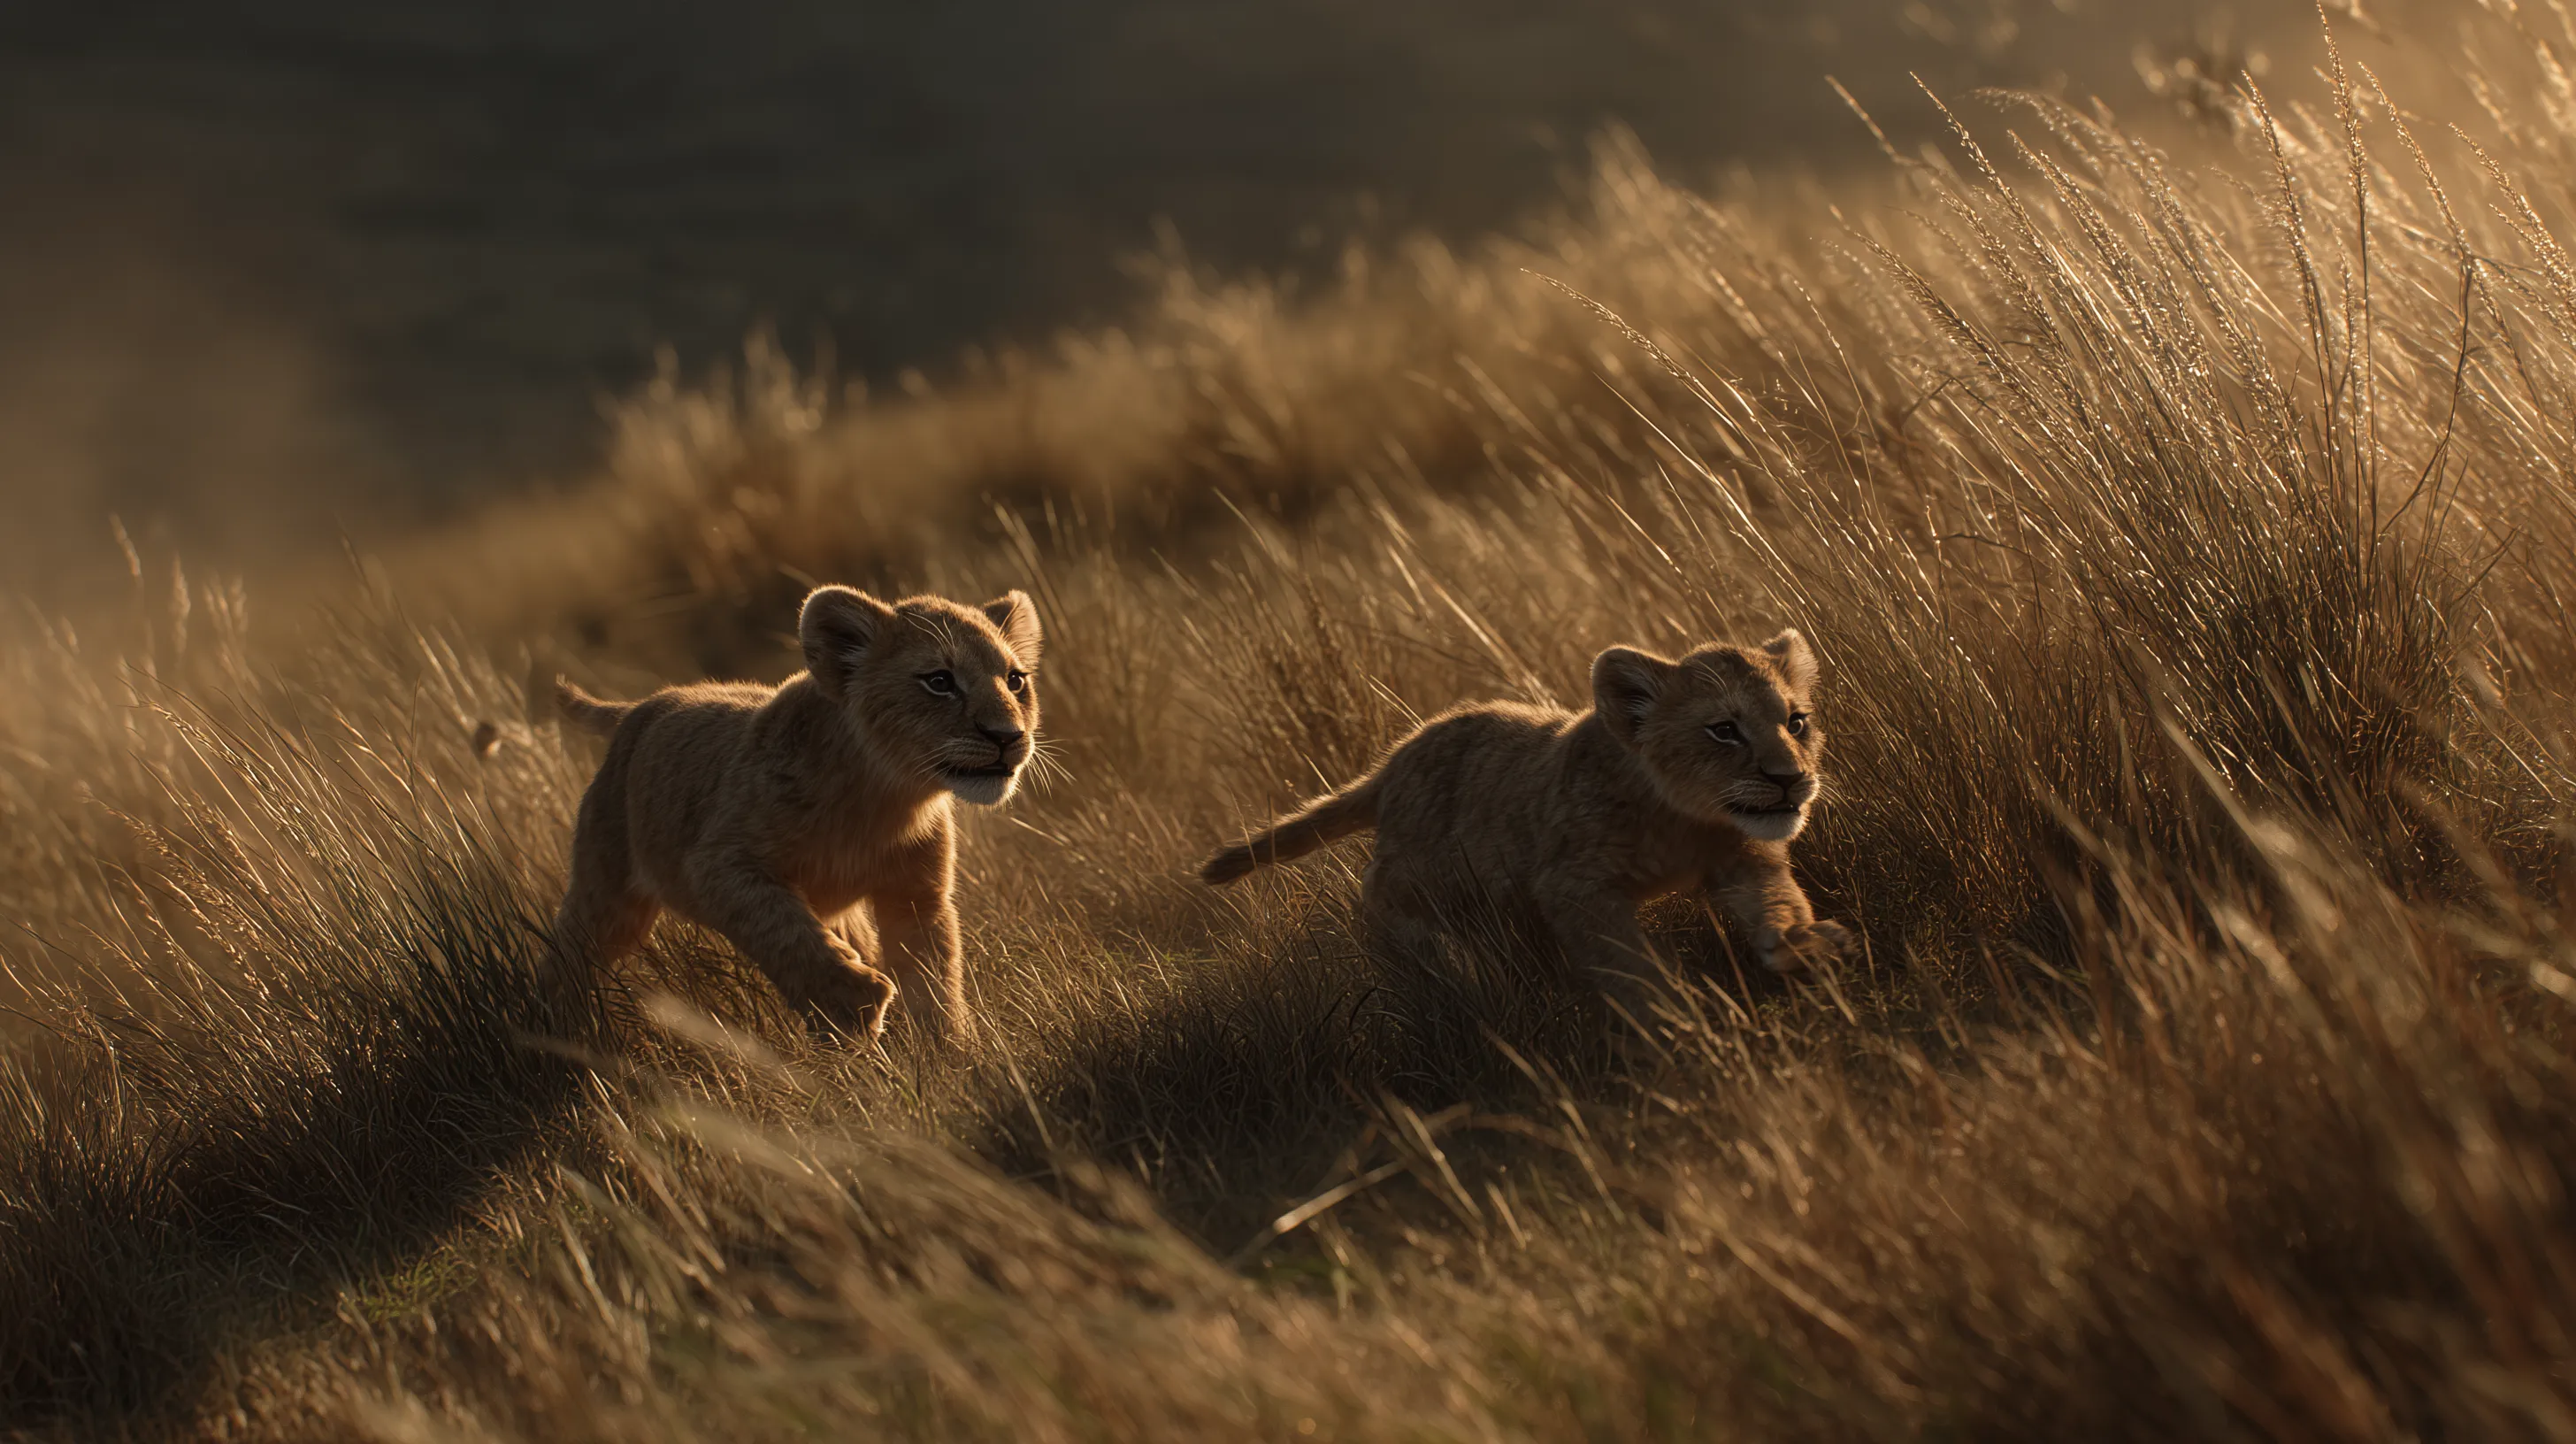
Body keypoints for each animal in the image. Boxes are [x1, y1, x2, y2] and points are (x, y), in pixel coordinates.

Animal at [548, 584, 1042, 1046]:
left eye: (1015, 680)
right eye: (939, 681)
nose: (1008, 736)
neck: (887, 799)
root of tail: (642, 705)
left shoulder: (917, 893)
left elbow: (935, 977)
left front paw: (955, 1055)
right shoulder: (717, 864)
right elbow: (785, 930)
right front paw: (853, 1005)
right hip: (608, 891)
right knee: (571, 955)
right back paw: (554, 1034)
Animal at [1201, 629, 1851, 1024]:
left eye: (1796, 722)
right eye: (1724, 731)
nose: (1790, 779)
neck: (1685, 820)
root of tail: (1394, 761)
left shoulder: (1744, 858)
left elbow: (1777, 900)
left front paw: (1801, 945)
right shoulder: (1572, 887)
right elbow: (1627, 960)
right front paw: (1677, 1014)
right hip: (1422, 882)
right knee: (1389, 907)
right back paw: (1431, 970)